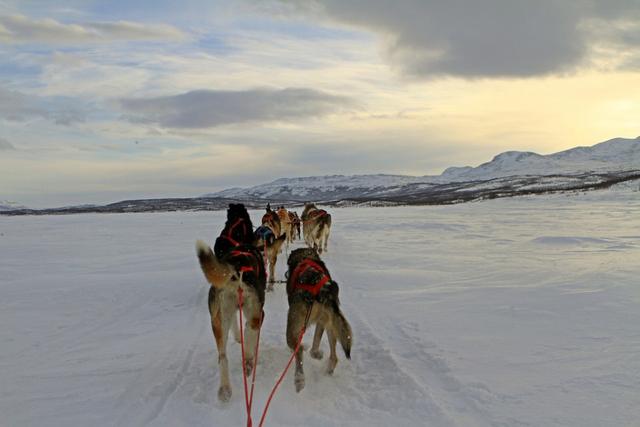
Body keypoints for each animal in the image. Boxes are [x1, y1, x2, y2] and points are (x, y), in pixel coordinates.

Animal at [288, 249, 352, 392]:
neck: (305, 256)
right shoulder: (322, 322)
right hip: (330, 323)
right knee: (333, 357)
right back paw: (325, 367)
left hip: (292, 328)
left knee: (298, 351)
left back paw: (299, 379)